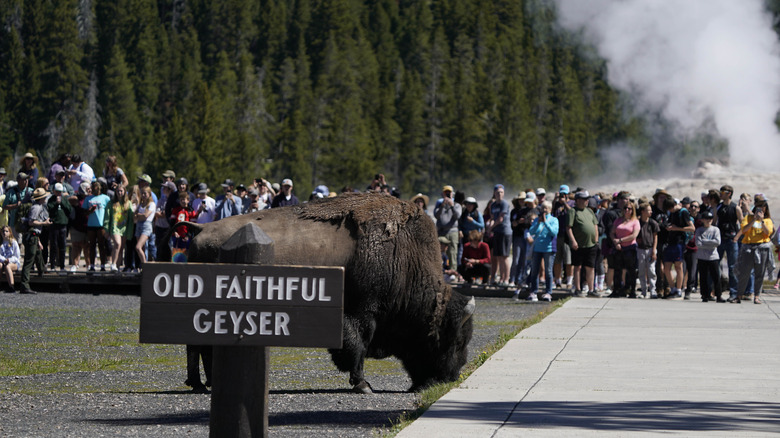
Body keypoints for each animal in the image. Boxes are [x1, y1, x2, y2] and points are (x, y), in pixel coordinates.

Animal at [166, 193, 476, 392]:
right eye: (455, 339)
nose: (450, 378)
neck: (402, 253)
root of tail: (201, 228)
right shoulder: (360, 314)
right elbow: (357, 348)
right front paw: (363, 385)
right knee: (197, 346)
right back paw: (201, 385)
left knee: (201, 347)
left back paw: (204, 383)